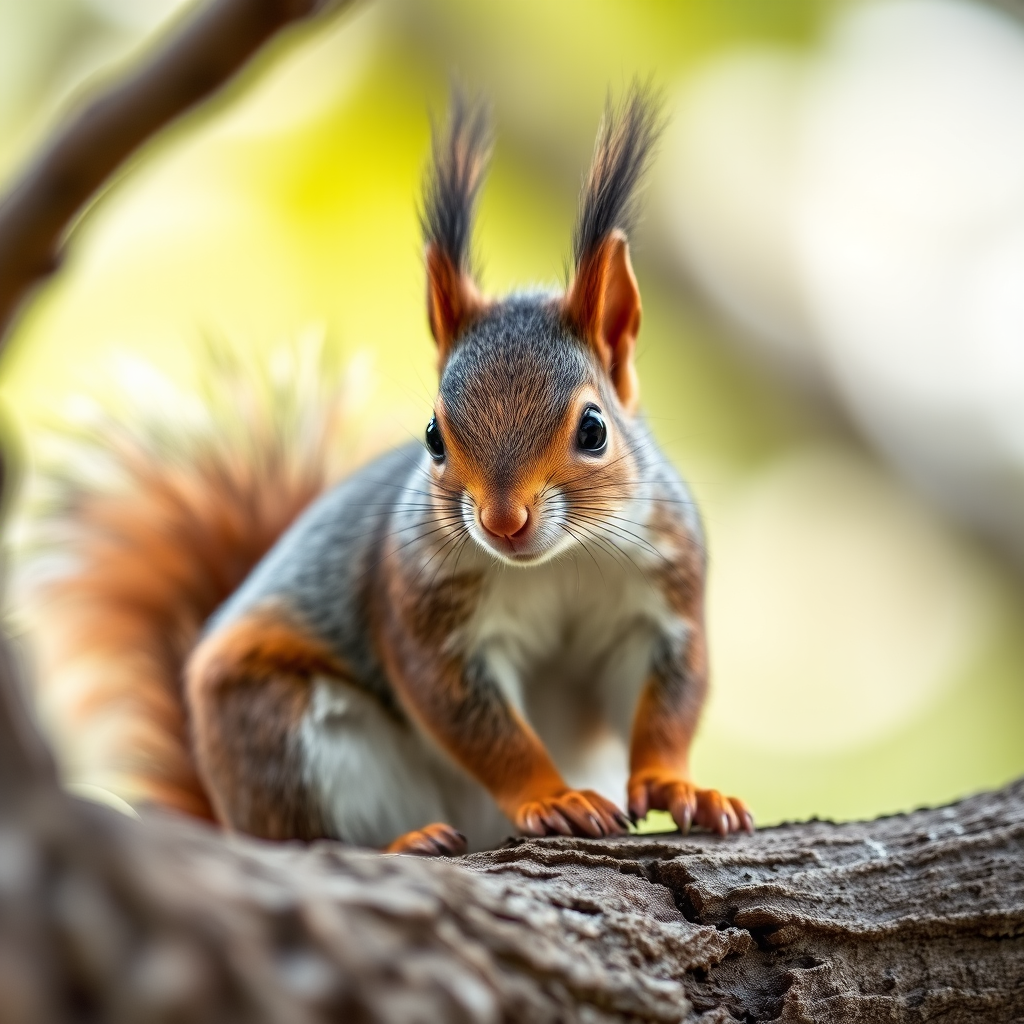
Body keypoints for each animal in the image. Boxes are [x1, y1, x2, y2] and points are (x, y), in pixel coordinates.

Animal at [29, 84, 752, 855]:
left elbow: (670, 701)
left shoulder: (664, 595)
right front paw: (551, 796)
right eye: (433, 436)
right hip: (285, 729)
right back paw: (403, 843)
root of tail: (227, 814)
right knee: (308, 835)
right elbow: (478, 726)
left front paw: (682, 786)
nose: (503, 520)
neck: (557, 564)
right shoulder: (423, 611)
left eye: (594, 429)